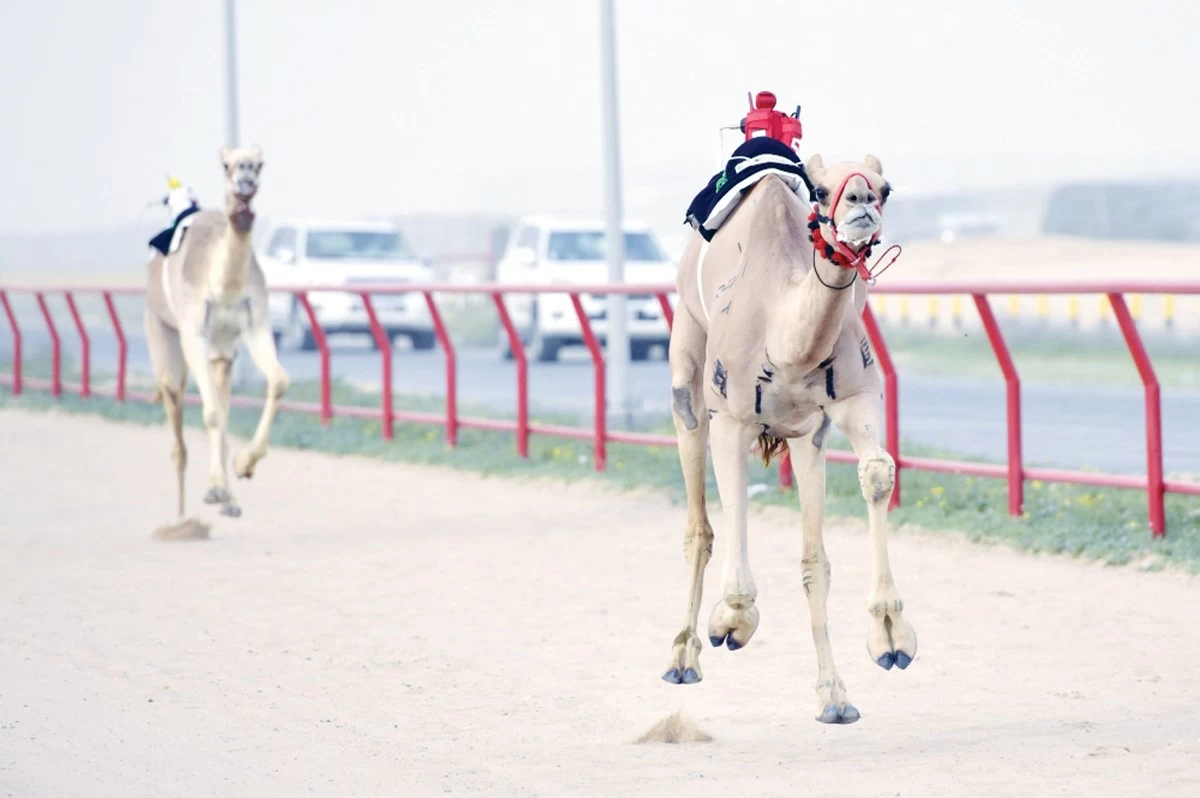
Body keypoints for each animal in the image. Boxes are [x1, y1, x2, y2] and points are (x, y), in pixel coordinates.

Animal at [144, 145, 289, 521]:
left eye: (259, 163)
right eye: (226, 164)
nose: (245, 180)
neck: (223, 284)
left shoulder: (255, 328)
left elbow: (278, 382)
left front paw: (243, 465)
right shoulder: (193, 334)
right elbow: (209, 413)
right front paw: (217, 489)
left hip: (222, 352)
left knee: (221, 408)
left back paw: (228, 497)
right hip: (161, 330)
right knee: (177, 419)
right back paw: (182, 515)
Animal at [661, 154, 916, 725]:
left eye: (885, 187)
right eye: (820, 190)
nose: (860, 203)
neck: (785, 338)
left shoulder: (850, 400)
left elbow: (877, 472)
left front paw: (890, 635)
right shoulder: (731, 418)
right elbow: (727, 530)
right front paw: (732, 621)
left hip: (806, 437)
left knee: (812, 557)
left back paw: (835, 697)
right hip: (688, 368)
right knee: (698, 523)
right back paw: (682, 658)